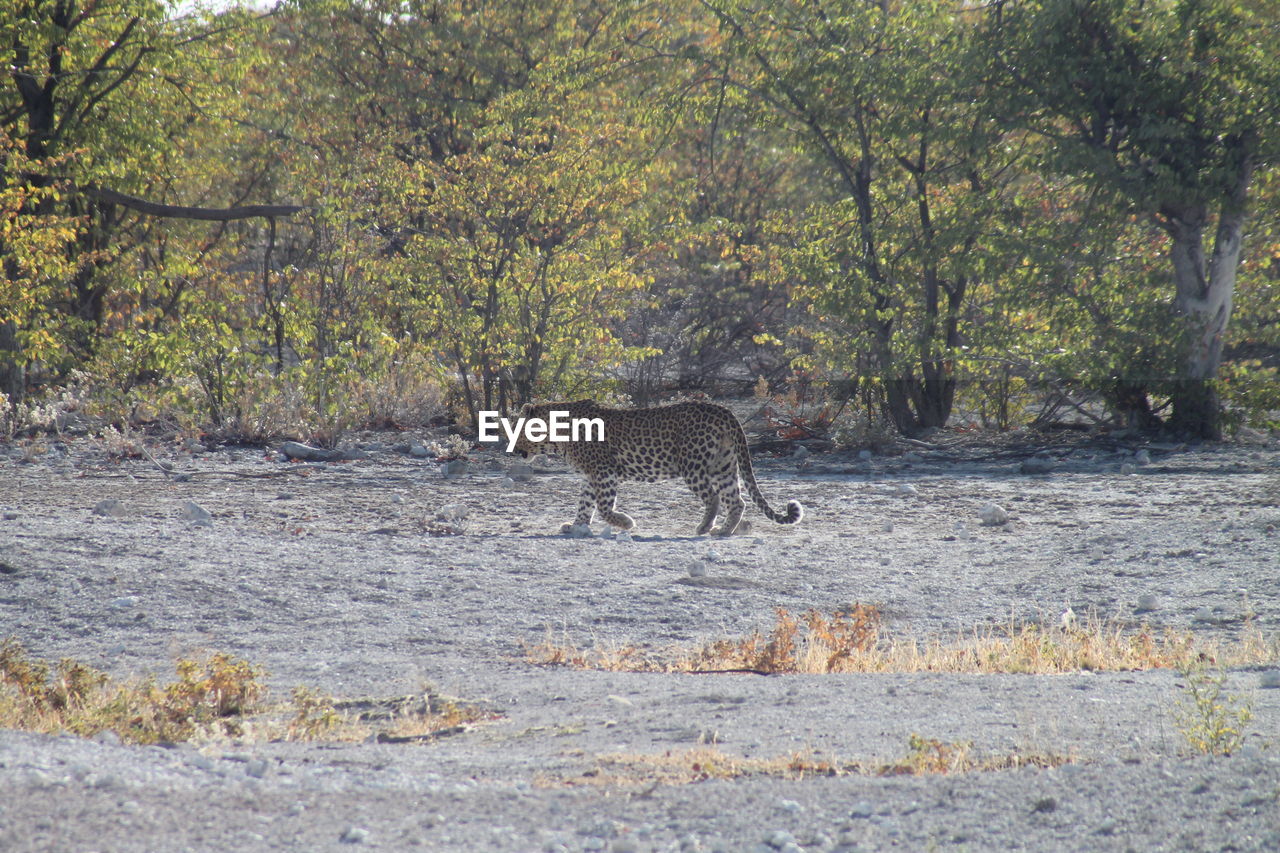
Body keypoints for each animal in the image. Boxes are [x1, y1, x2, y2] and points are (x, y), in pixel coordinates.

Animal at [509, 397, 798, 532]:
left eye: (518, 429)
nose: (511, 449)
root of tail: (723, 409)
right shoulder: (591, 475)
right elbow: (585, 503)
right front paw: (577, 525)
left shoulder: (603, 471)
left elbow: (603, 507)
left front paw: (625, 523)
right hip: (723, 465)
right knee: (736, 501)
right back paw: (723, 532)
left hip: (692, 465)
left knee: (714, 497)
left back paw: (705, 527)